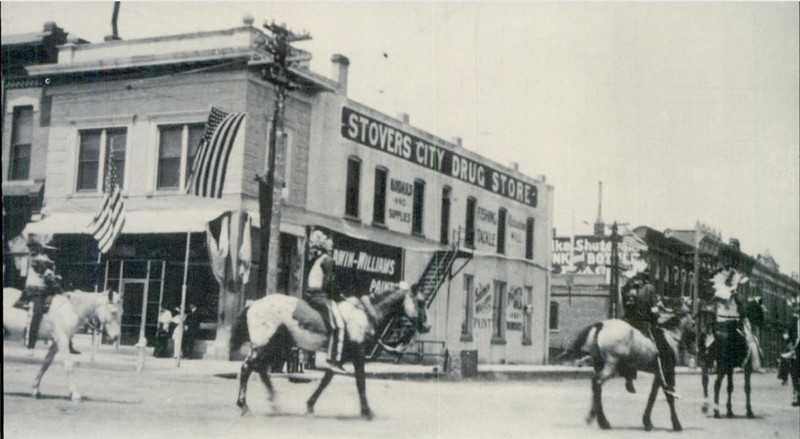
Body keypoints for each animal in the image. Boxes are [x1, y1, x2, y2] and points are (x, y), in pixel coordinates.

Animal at [230, 286, 432, 420]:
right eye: (420, 302)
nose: (428, 326)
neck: (364, 315)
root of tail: (254, 304)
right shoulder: (357, 356)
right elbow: (361, 382)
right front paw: (366, 411)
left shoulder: (339, 359)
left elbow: (326, 380)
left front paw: (310, 405)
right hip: (264, 345)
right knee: (247, 368)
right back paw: (244, 405)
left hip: (273, 347)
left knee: (261, 370)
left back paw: (275, 403)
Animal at [556, 300, 692, 434]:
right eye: (694, 324)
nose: (693, 350)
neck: (670, 336)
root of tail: (601, 324)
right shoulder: (667, 371)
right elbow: (669, 396)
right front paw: (676, 424)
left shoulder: (658, 374)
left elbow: (652, 396)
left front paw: (647, 421)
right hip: (611, 366)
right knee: (597, 382)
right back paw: (601, 421)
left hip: (599, 364)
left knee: (596, 387)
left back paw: (597, 418)